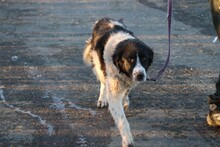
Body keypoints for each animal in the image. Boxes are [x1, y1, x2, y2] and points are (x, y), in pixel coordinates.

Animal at [83, 17, 154, 146]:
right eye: (130, 60)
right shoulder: (114, 91)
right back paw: (102, 99)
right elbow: (122, 120)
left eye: (144, 58)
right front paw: (127, 141)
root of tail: (104, 19)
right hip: (98, 65)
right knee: (103, 82)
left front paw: (125, 100)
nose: (140, 75)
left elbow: (126, 92)